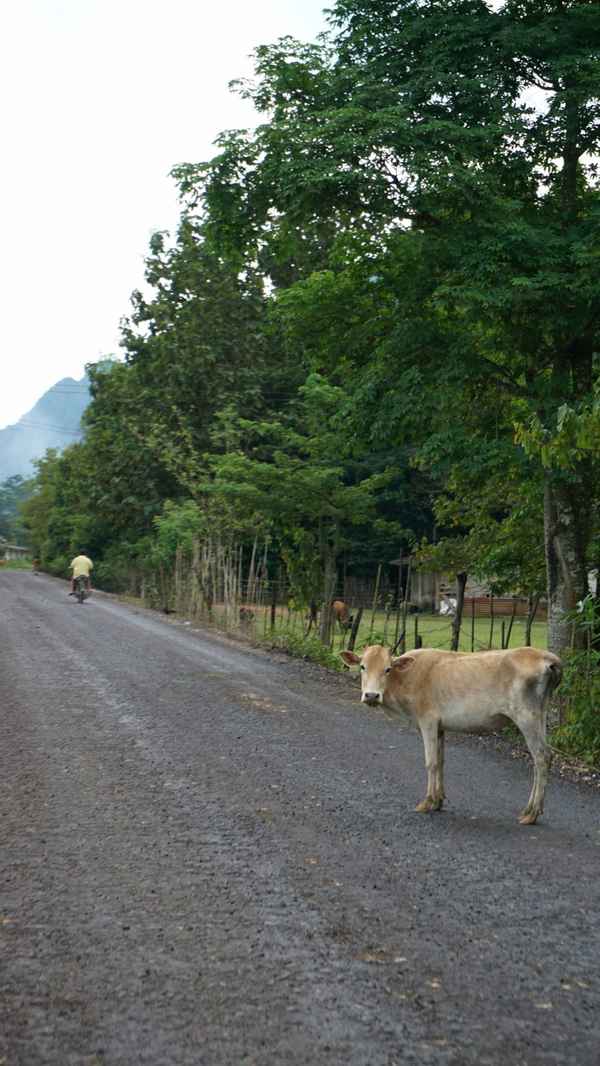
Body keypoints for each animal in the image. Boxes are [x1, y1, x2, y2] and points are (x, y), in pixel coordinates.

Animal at [340, 644, 562, 825]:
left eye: (387, 669)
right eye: (362, 666)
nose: (371, 695)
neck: (406, 680)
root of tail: (547, 657)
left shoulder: (427, 720)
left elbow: (431, 762)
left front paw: (427, 802)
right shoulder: (440, 726)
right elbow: (441, 761)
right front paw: (438, 801)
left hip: (526, 715)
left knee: (541, 757)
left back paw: (532, 814)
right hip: (541, 714)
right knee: (543, 757)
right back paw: (529, 809)